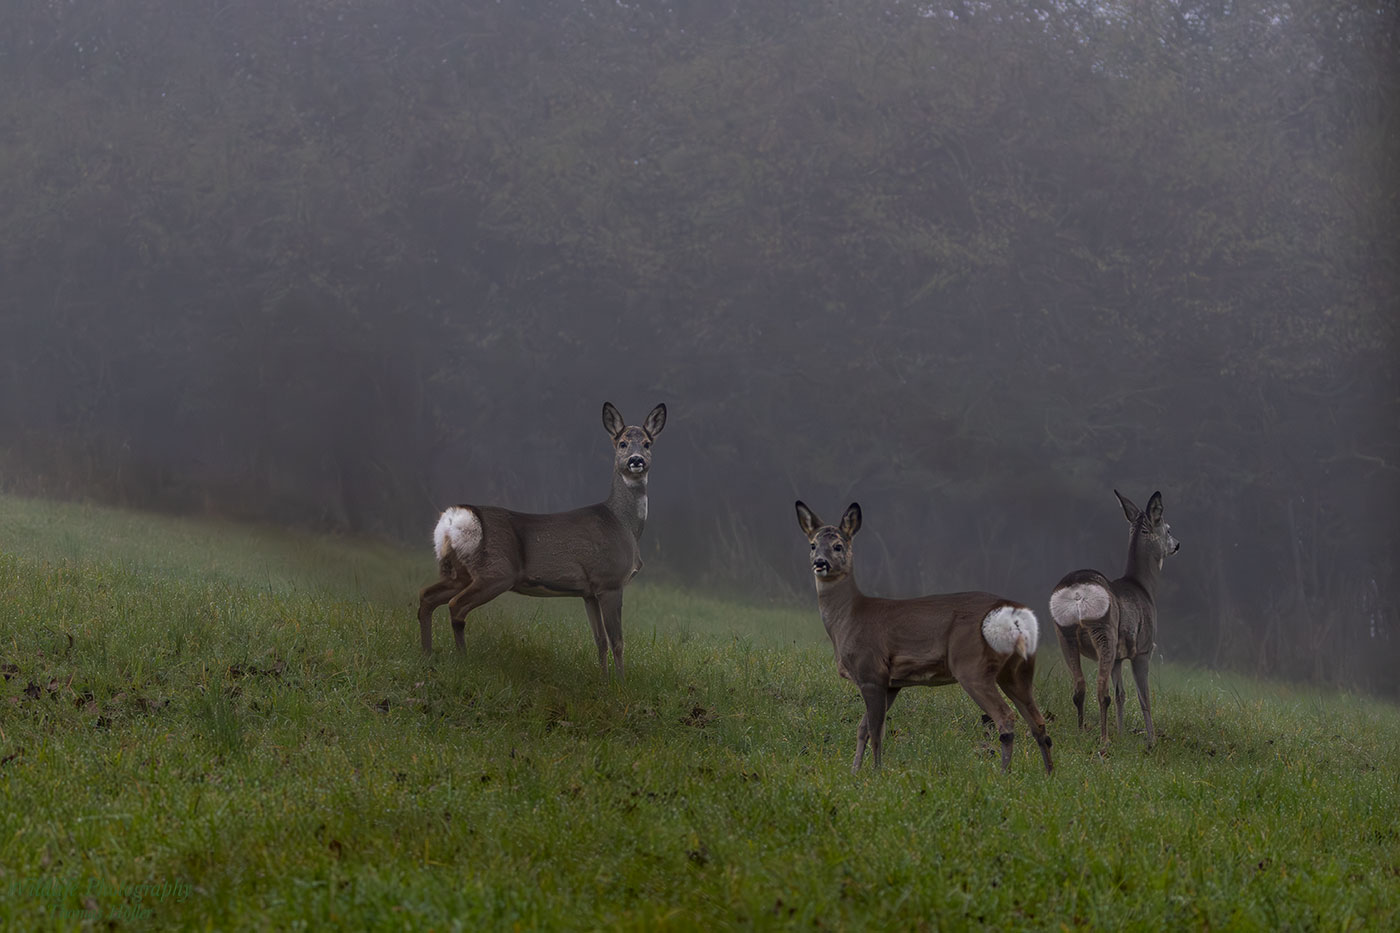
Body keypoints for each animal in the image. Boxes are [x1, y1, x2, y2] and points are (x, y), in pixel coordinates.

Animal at [414, 403, 666, 672]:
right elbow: (617, 642)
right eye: (622, 443)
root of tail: (454, 518)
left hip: (459, 572)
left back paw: (427, 655)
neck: (623, 523)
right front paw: (619, 681)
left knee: (427, 596)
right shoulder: (610, 580)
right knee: (456, 606)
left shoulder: (589, 591)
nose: (636, 460)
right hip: (496, 572)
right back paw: (462, 659)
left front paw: (604, 678)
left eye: (647, 443)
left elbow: (600, 641)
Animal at [800, 501, 1052, 767]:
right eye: (813, 544)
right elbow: (863, 728)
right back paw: (1048, 773)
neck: (848, 619)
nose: (820, 562)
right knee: (1038, 722)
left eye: (838, 546)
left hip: (972, 665)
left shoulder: (871, 671)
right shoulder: (891, 683)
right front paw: (855, 770)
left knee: (1006, 717)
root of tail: (1016, 615)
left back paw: (1004, 772)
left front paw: (875, 771)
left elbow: (876, 732)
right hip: (1017, 671)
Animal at [1052, 490, 1181, 745]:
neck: (1144, 588)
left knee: (1079, 687)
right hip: (1105, 630)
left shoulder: (1120, 658)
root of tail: (1077, 590)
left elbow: (1122, 693)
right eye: (1168, 528)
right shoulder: (1143, 649)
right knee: (1101, 690)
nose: (1177, 545)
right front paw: (1151, 740)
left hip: (1064, 633)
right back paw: (1104, 740)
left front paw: (1122, 734)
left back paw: (1082, 733)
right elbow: (1144, 697)